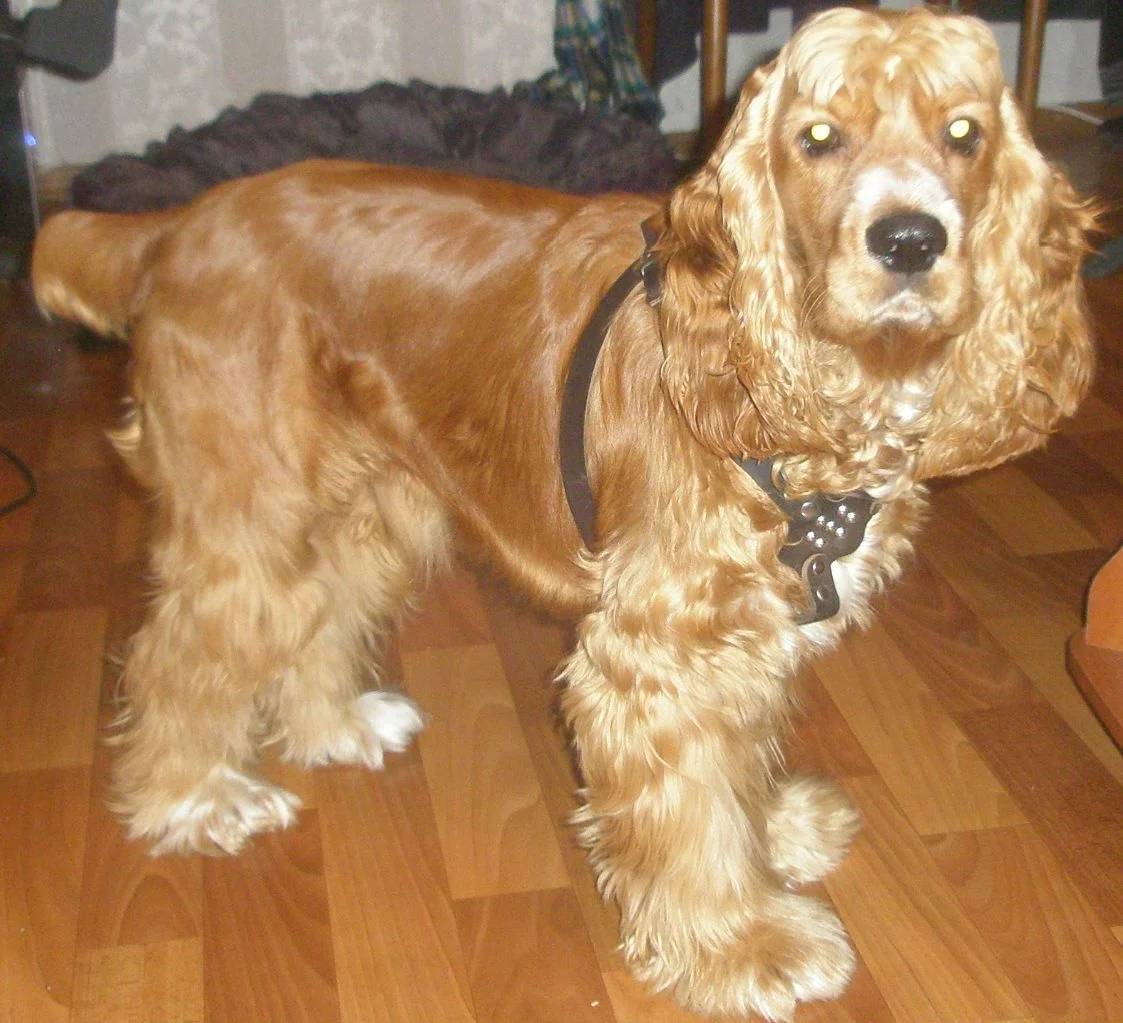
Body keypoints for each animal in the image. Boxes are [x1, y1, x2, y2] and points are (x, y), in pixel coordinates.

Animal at [32, 6, 1093, 1019]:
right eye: (818, 137)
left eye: (962, 134)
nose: (910, 239)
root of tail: (176, 223)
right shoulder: (656, 658)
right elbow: (692, 816)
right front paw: (742, 945)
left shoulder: (747, 635)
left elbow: (737, 767)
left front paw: (772, 834)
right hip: (245, 516)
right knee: (178, 657)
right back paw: (191, 799)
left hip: (365, 506)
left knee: (315, 616)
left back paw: (334, 725)